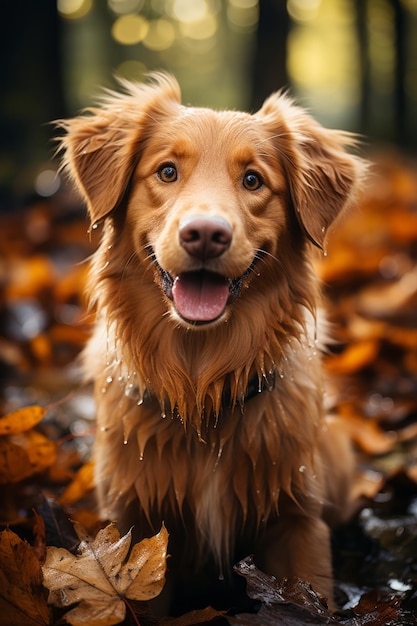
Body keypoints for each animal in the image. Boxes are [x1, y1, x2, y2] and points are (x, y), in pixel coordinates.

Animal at [58, 74, 364, 608]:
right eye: (166, 171)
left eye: (253, 180)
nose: (204, 234)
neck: (200, 385)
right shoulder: (135, 520)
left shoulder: (297, 522)